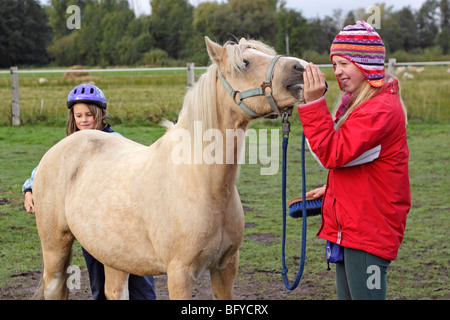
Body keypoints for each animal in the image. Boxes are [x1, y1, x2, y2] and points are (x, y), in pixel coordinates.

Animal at [33, 37, 308, 300]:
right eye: (245, 63)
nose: (301, 68)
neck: (203, 183)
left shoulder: (226, 267)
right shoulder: (180, 273)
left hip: (114, 254)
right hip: (55, 248)